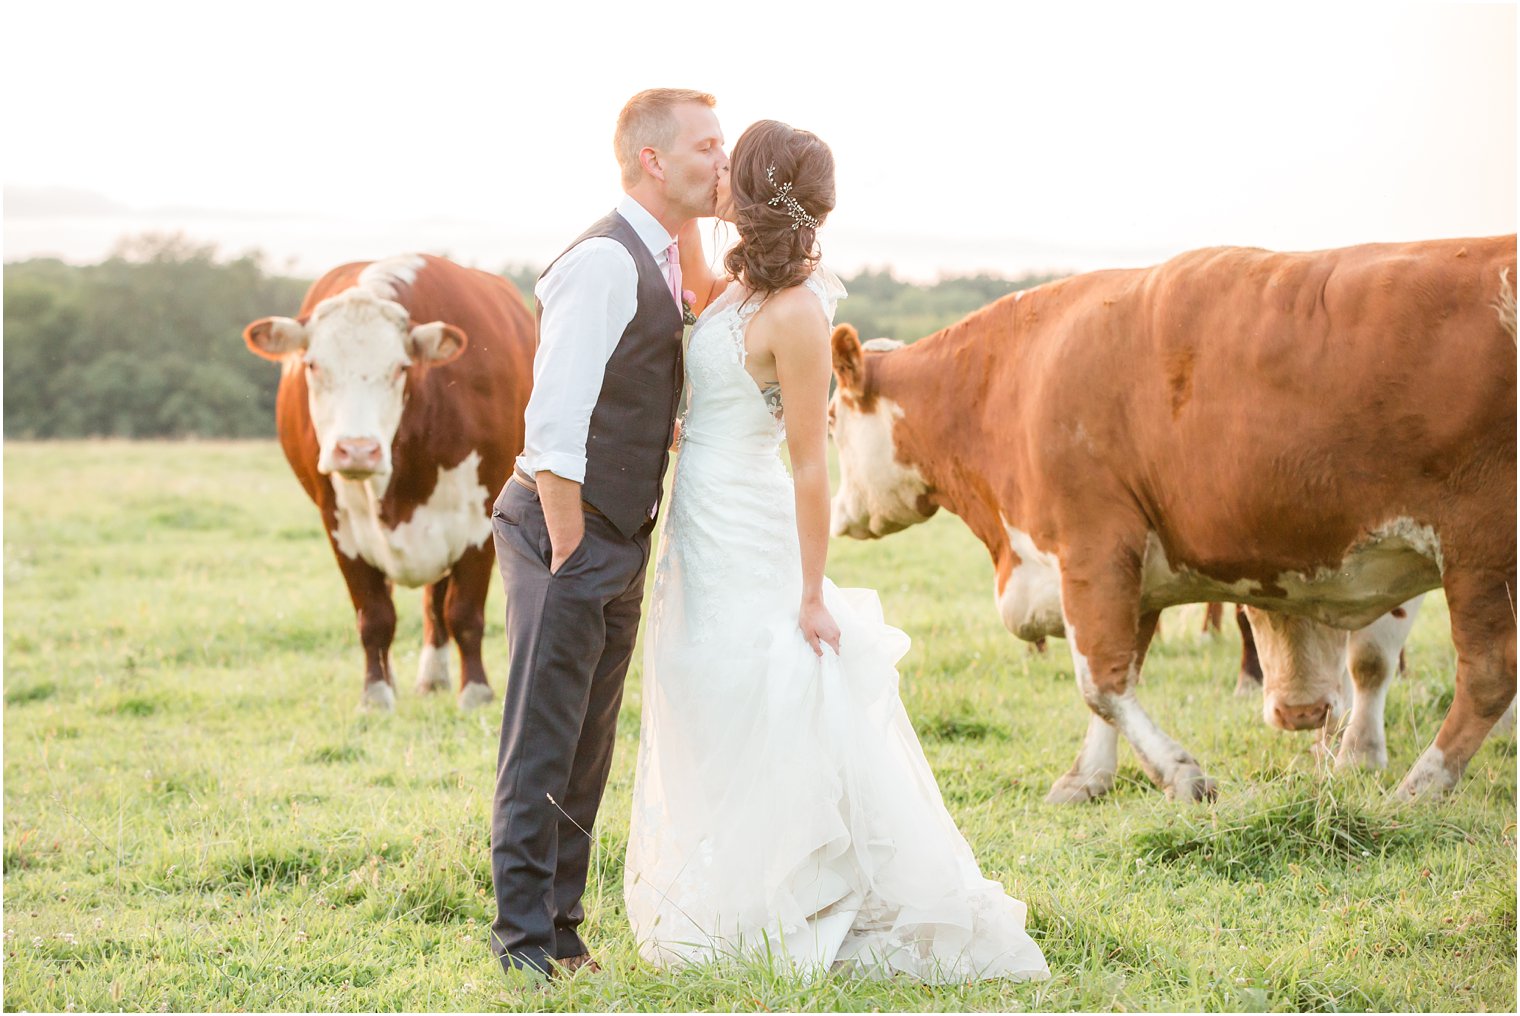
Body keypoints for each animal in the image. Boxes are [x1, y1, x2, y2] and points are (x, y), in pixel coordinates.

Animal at [243, 255, 535, 714]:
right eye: (313, 365)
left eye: (400, 368)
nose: (357, 450)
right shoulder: (340, 525)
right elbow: (374, 616)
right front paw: (375, 695)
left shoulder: (480, 520)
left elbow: (463, 613)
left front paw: (476, 693)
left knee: (437, 606)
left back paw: (433, 676)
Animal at [832, 235, 1520, 803]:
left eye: (832, 418)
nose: (836, 514)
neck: (1007, 386)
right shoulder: (1131, 568)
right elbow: (1121, 674)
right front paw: (1087, 777)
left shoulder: (1092, 546)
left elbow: (1101, 681)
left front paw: (1181, 774)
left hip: (1480, 549)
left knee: (1489, 673)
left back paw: (1422, 787)